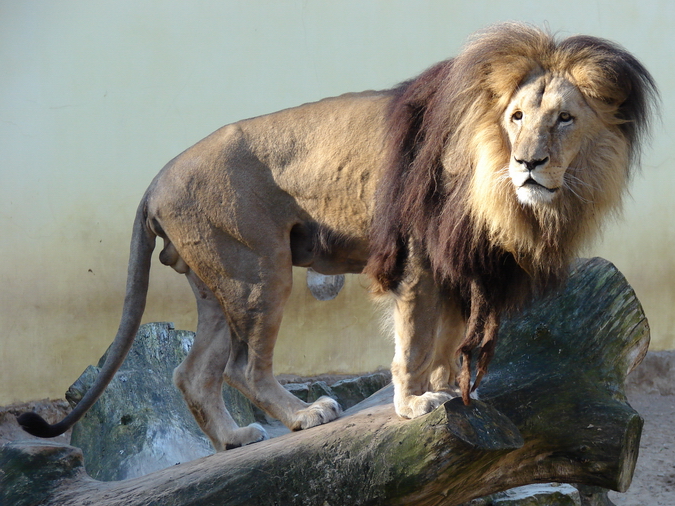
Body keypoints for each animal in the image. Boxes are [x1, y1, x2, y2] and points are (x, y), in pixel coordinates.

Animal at [19, 23, 657, 451]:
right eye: (517, 117)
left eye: (565, 118)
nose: (528, 163)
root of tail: (154, 181)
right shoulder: (419, 256)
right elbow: (414, 342)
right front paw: (414, 404)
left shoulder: (456, 265)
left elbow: (447, 340)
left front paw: (450, 390)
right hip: (261, 269)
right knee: (243, 369)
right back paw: (305, 416)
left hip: (218, 282)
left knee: (193, 373)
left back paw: (234, 439)